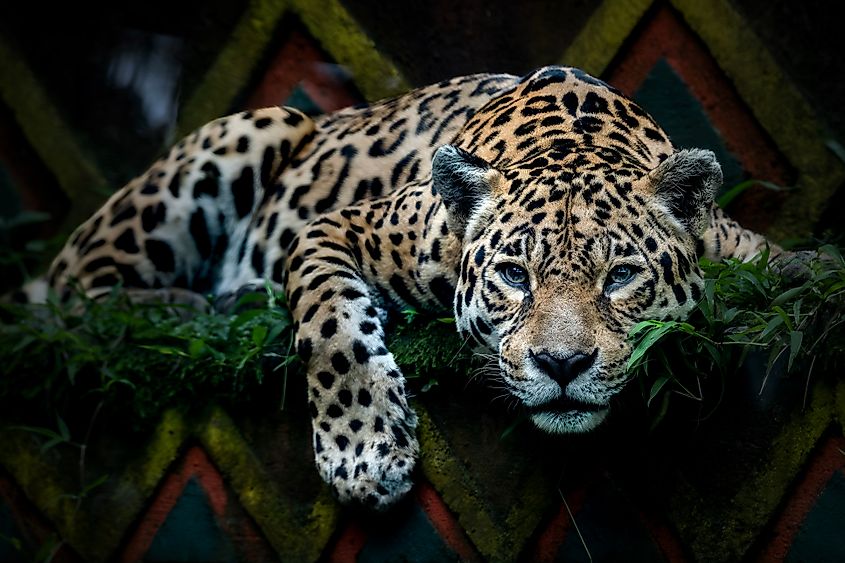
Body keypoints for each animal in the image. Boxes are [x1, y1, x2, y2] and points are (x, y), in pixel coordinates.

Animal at [16, 66, 792, 510]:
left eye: (621, 276)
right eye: (513, 275)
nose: (562, 365)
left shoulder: (736, 245)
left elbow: (773, 265)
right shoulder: (335, 227)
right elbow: (331, 331)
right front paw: (362, 453)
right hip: (250, 130)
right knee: (69, 296)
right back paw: (198, 304)